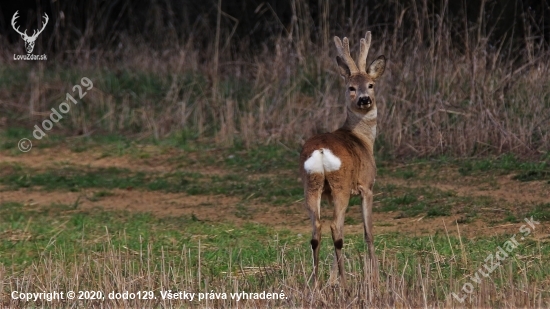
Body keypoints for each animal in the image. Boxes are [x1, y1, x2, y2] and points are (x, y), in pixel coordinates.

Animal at [300, 31, 386, 288]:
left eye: (370, 84)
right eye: (351, 87)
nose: (365, 99)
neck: (363, 139)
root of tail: (320, 151)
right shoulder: (367, 186)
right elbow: (368, 232)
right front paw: (375, 278)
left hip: (311, 184)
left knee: (317, 229)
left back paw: (315, 283)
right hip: (341, 185)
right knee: (335, 227)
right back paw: (345, 285)